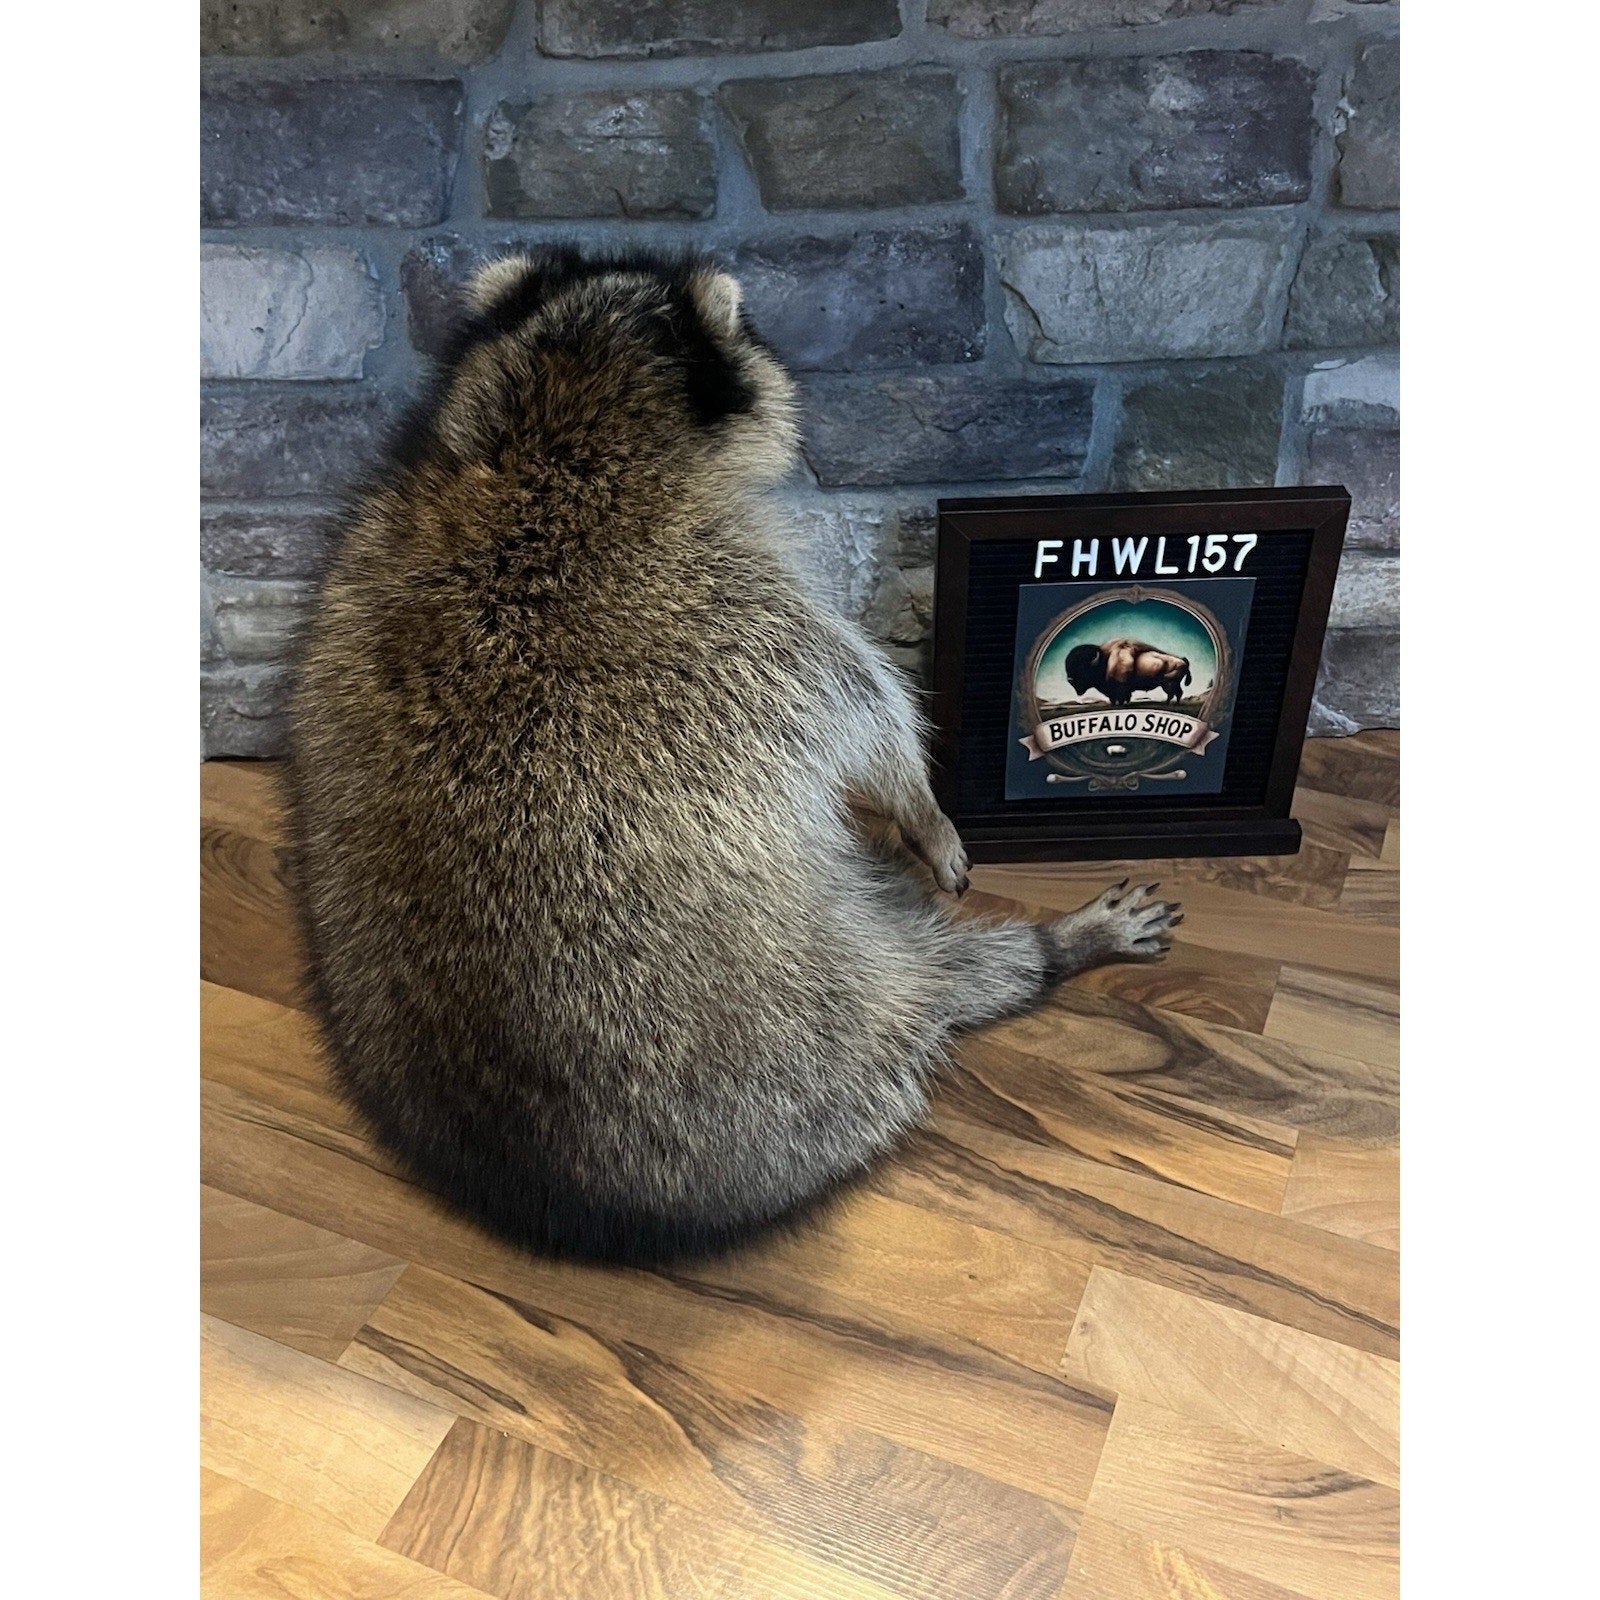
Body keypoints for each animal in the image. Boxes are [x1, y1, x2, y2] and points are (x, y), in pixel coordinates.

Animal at [285, 248, 1180, 1265]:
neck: (556, 430)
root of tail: (579, 1201)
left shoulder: (371, 539)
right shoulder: (750, 609)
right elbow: (871, 718)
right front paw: (925, 810)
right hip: (831, 1022)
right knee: (932, 984)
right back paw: (1045, 951)